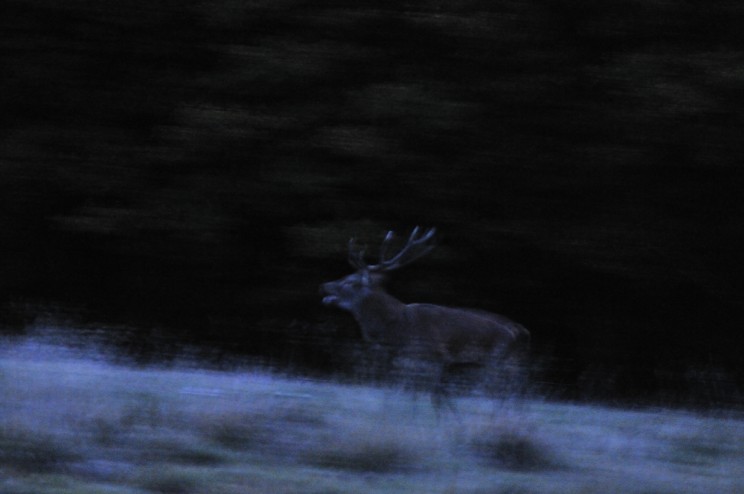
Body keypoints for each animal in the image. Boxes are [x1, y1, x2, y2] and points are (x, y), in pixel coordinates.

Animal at [320, 228, 528, 410]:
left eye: (350, 281)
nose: (325, 285)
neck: (398, 329)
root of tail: (519, 332)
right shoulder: (406, 362)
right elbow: (413, 394)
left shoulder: (435, 357)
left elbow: (432, 396)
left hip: (497, 361)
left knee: (502, 393)